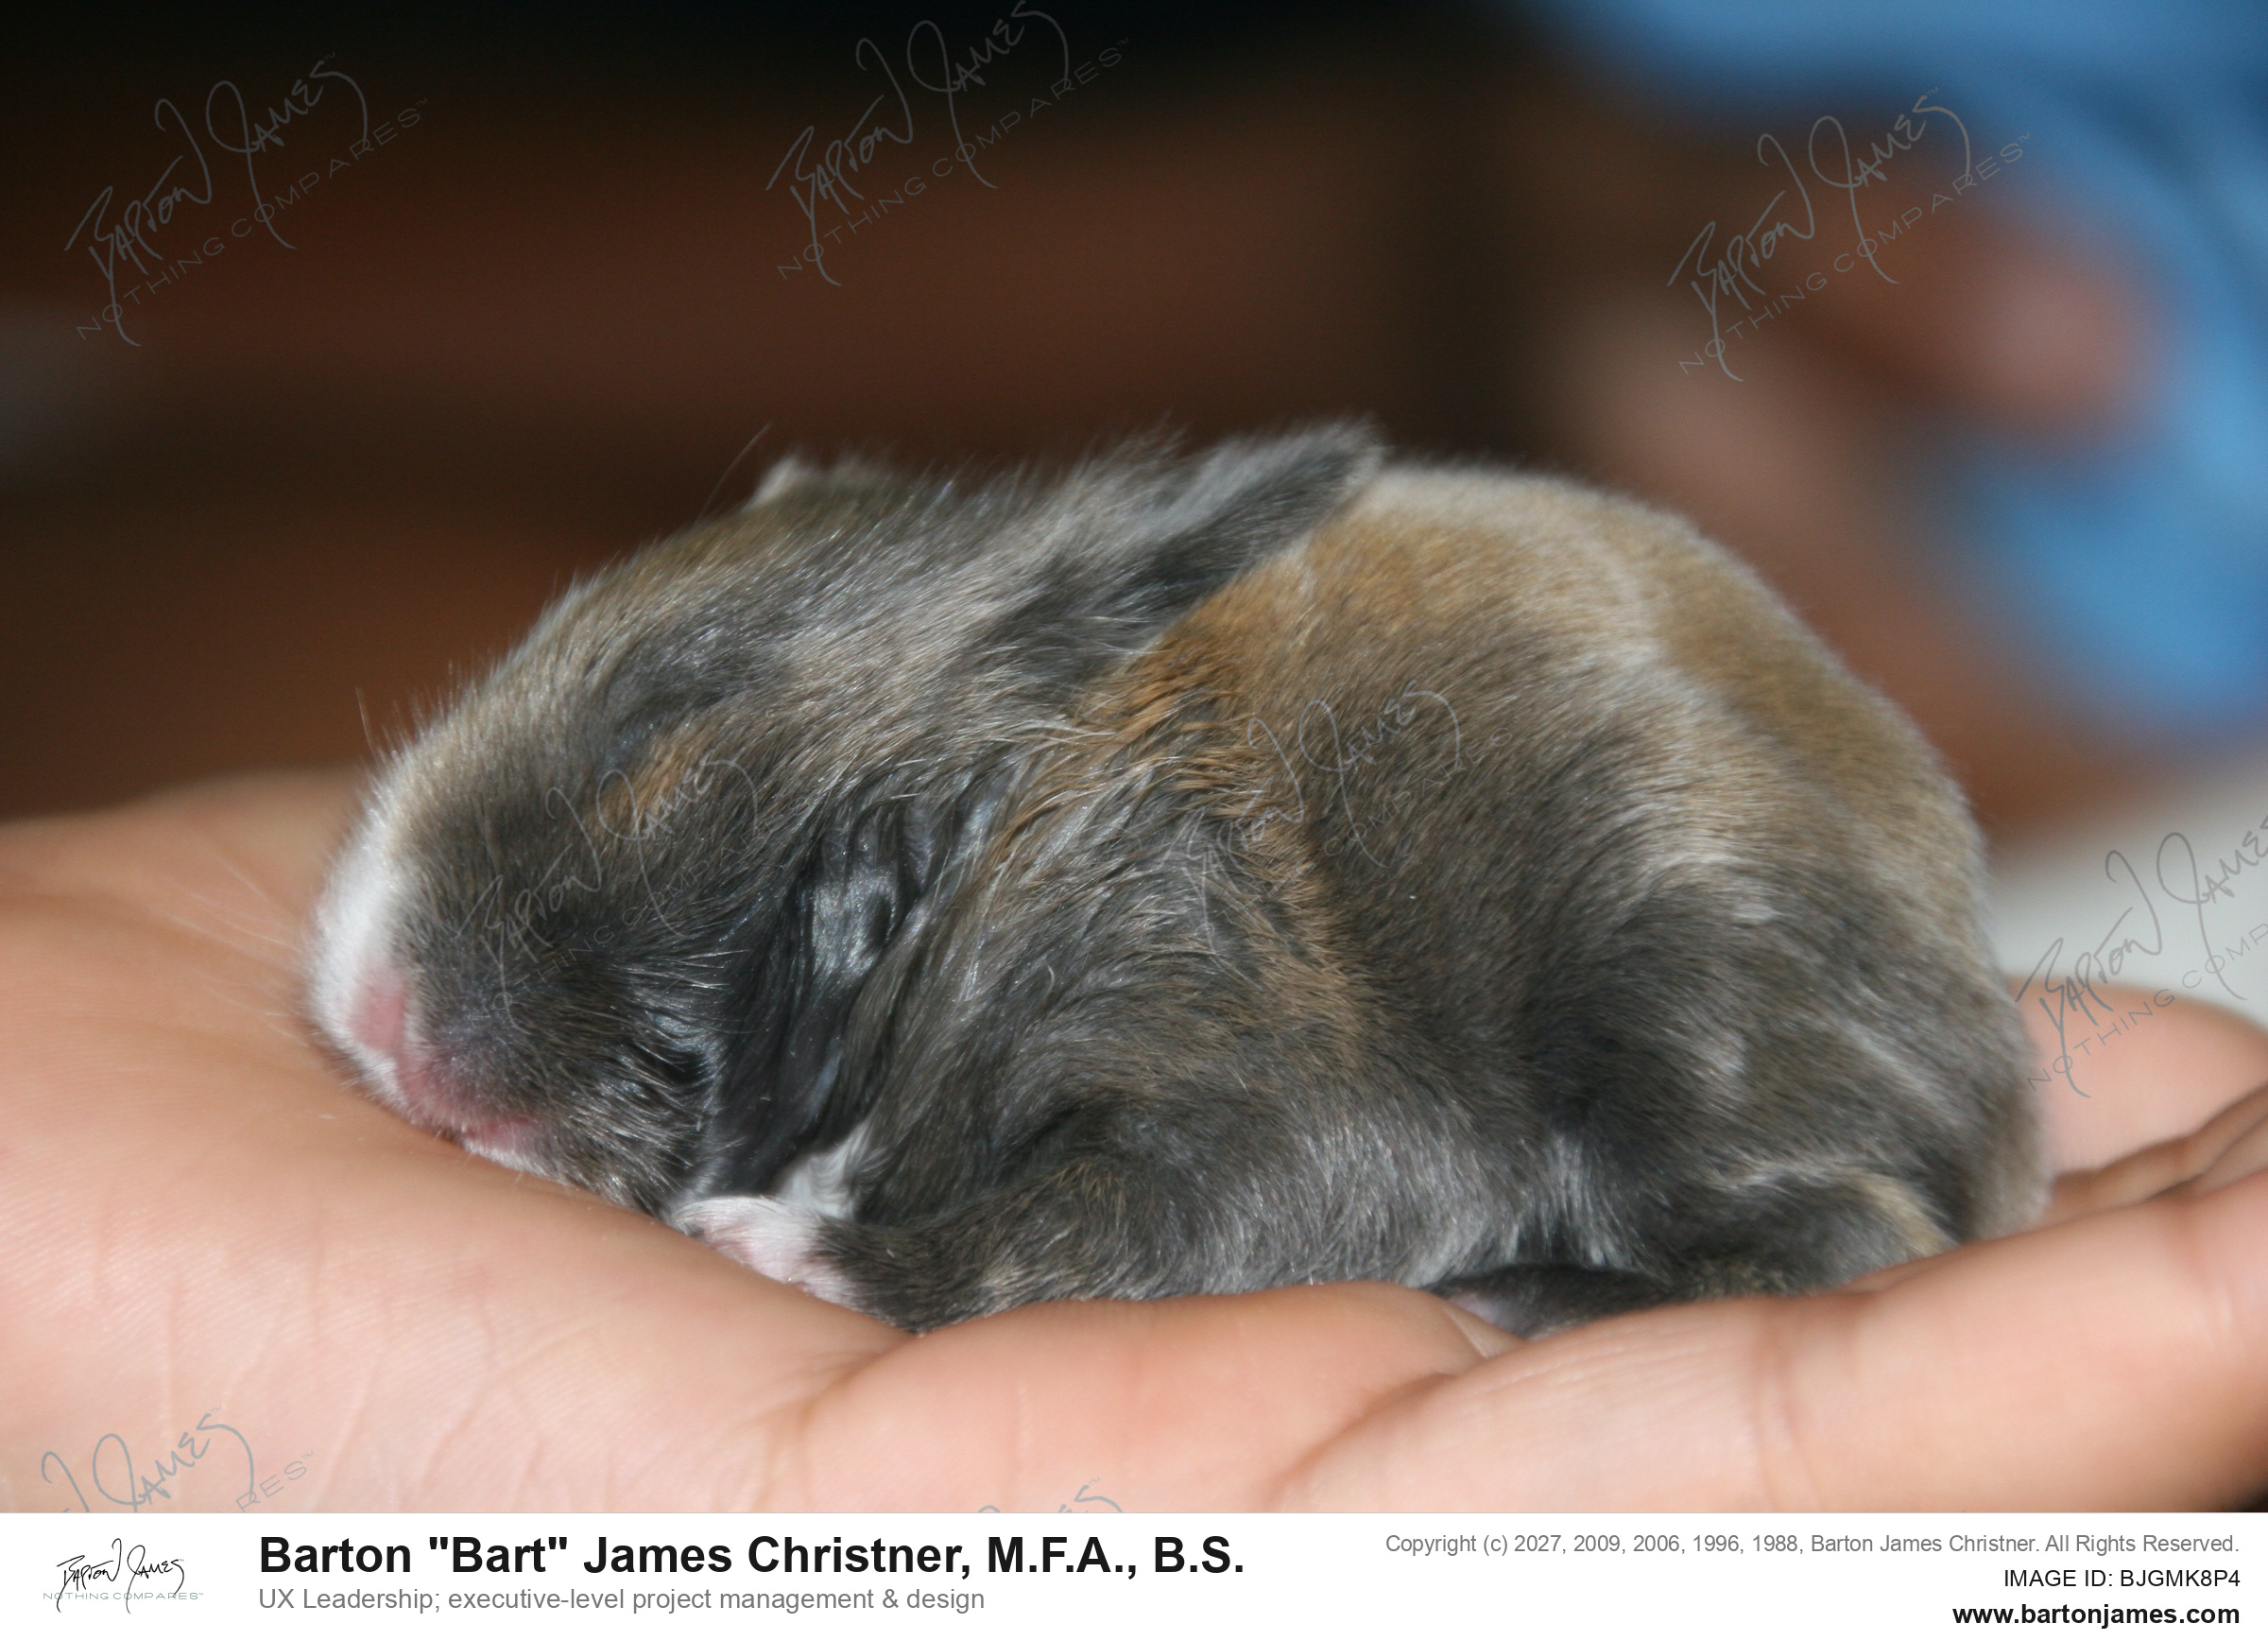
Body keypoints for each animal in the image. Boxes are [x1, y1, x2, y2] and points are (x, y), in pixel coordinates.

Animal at [306, 426, 2044, 1335]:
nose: (365, 997)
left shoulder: (1268, 1067)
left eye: (660, 723)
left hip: (1674, 1000)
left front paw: (795, 1250)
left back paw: (1518, 1289)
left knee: (1852, 1238)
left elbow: (1098, 1226)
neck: (1001, 814)